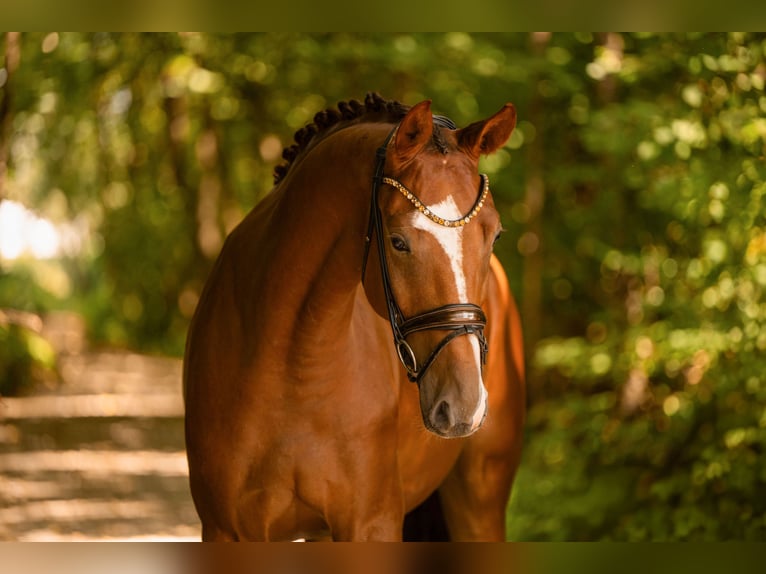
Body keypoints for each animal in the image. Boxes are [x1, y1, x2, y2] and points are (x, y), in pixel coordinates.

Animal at [183, 93, 525, 541]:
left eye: (495, 234)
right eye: (398, 242)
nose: (465, 406)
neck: (294, 366)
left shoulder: (371, 524)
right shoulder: (229, 531)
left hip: (479, 502)